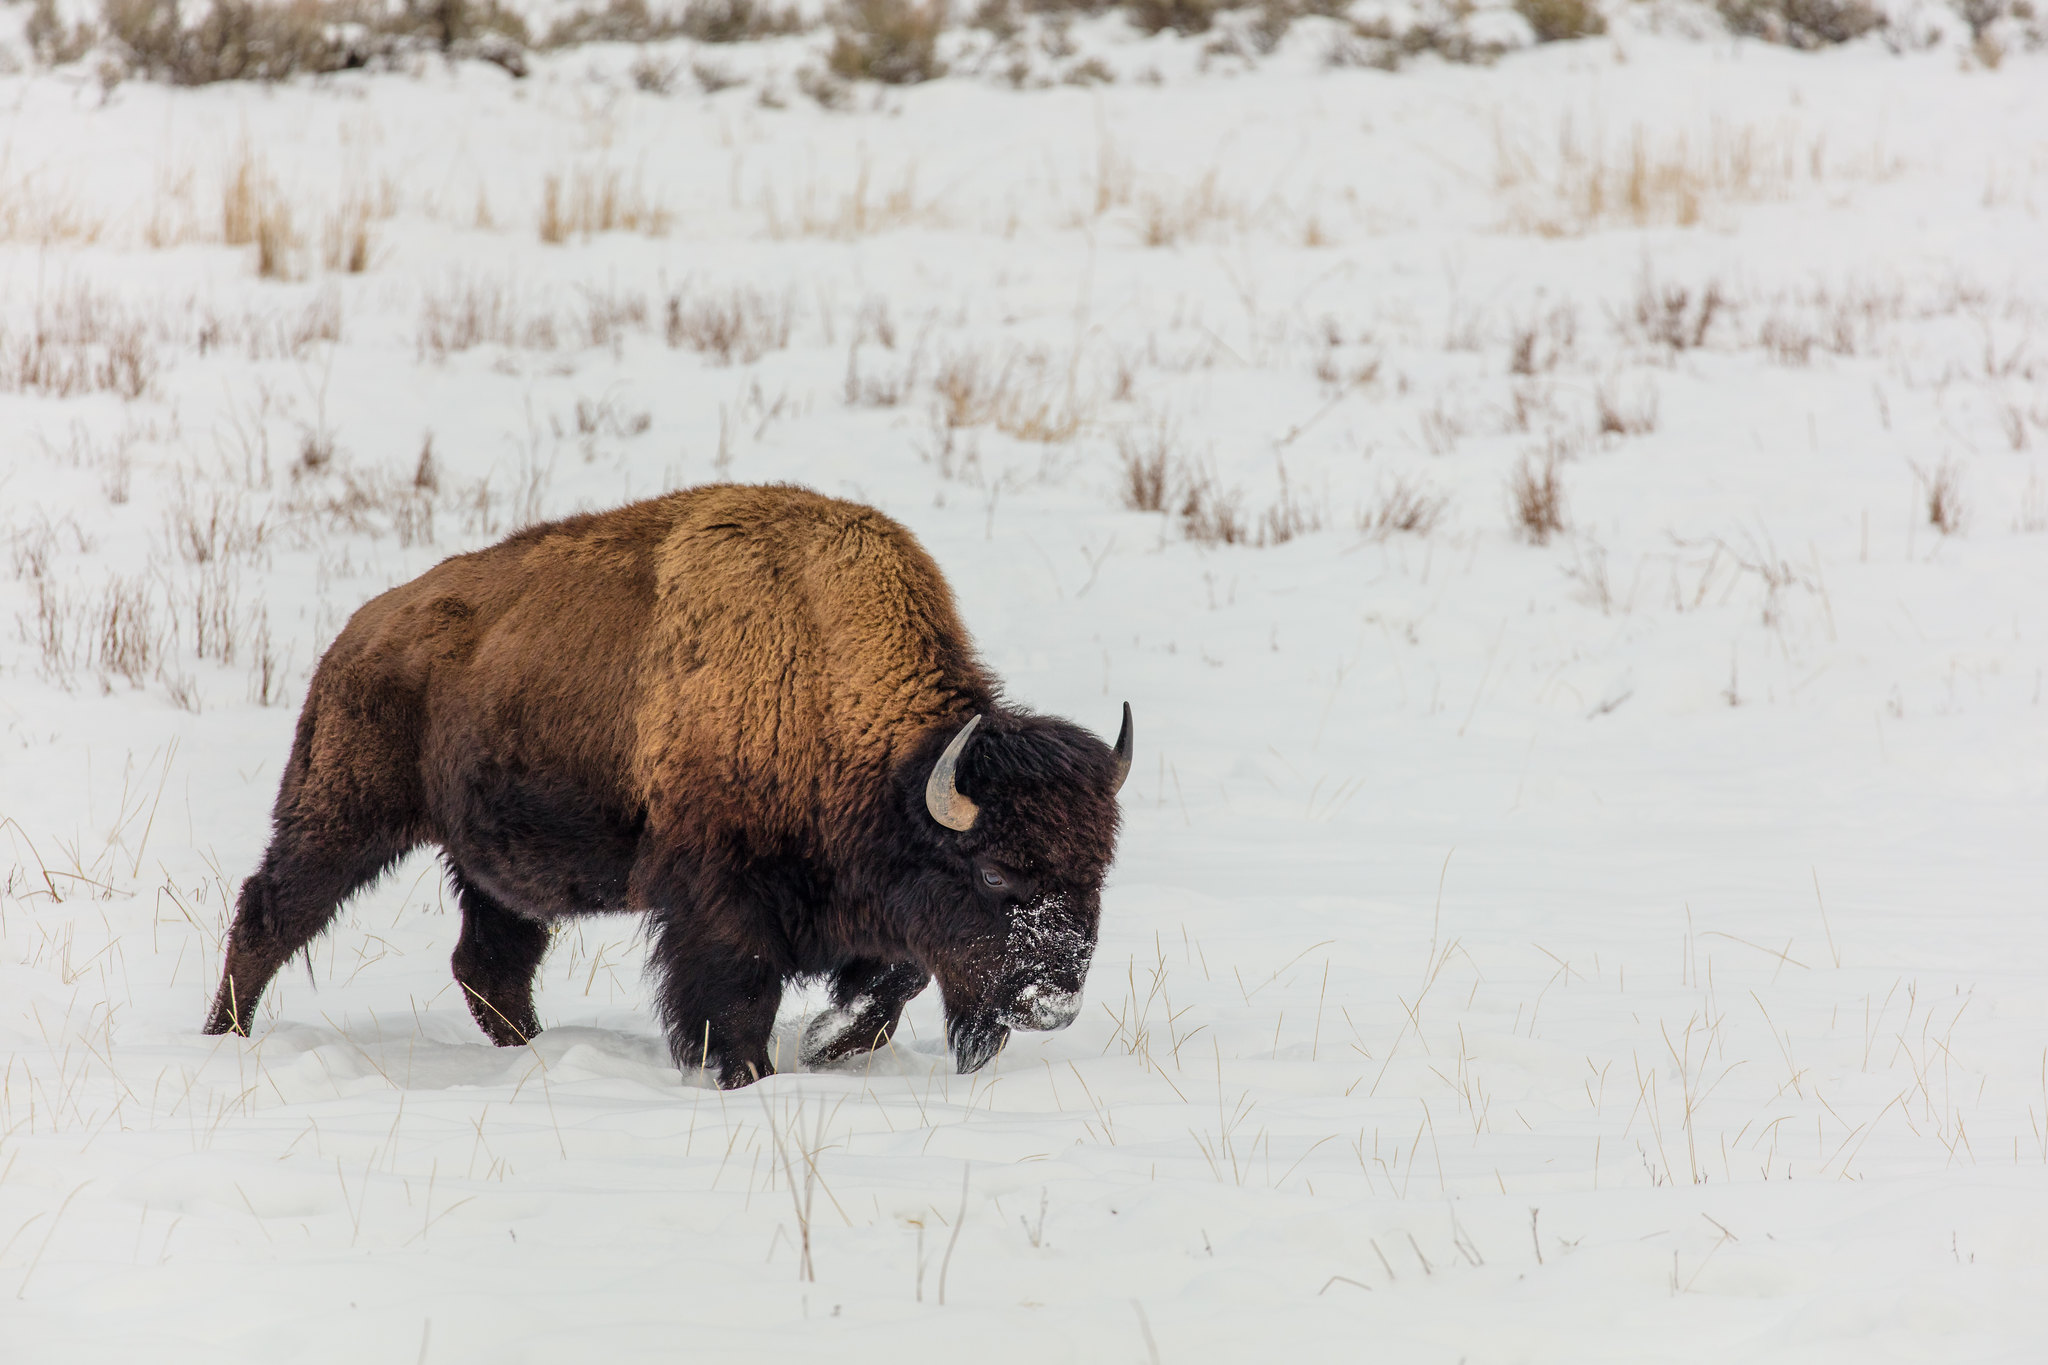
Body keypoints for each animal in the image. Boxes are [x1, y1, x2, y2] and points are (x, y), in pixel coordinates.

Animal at [203, 480, 1138, 1088]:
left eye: (1097, 872)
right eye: (998, 873)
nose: (1052, 1003)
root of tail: (357, 637)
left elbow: (894, 978)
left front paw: (828, 1043)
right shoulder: (719, 900)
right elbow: (741, 994)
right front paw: (749, 1071)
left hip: (491, 867)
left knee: (489, 962)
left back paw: (533, 1052)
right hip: (343, 817)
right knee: (271, 913)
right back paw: (224, 1035)